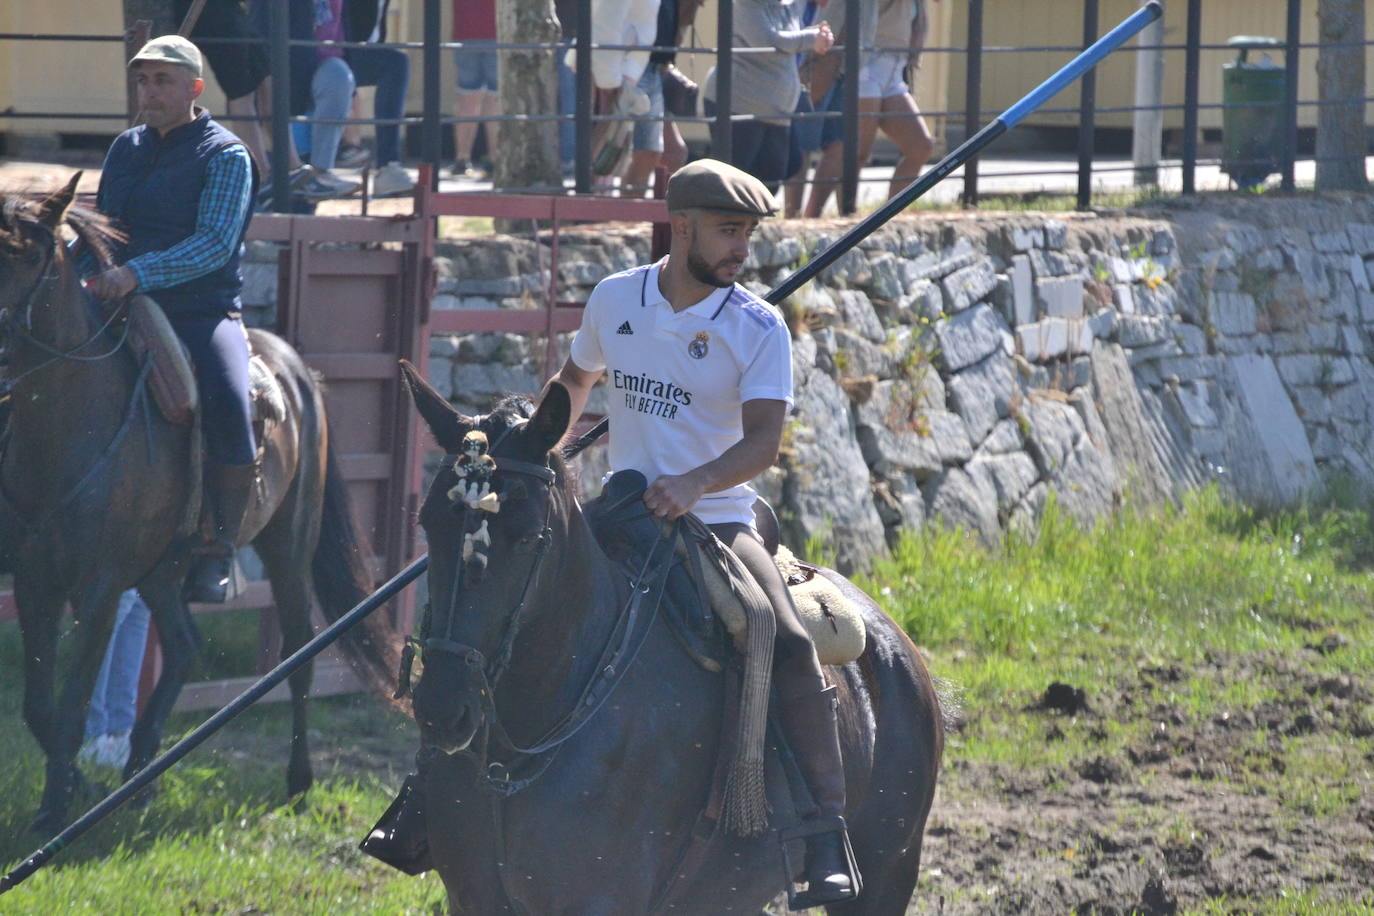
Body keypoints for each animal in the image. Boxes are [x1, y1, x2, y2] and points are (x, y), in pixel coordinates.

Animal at [0, 178, 401, 840]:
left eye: (26, 255)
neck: (70, 429)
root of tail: (300, 373)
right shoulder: (36, 579)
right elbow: (39, 705)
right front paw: (79, 790)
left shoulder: (99, 587)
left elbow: (73, 702)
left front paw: (55, 813)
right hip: (163, 571)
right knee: (185, 645)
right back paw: (139, 777)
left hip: (289, 546)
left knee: (298, 656)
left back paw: (299, 782)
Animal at [392, 362, 939, 911]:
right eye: (428, 525)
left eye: (527, 538)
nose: (442, 709)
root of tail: (899, 648)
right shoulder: (474, 898)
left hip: (888, 874)